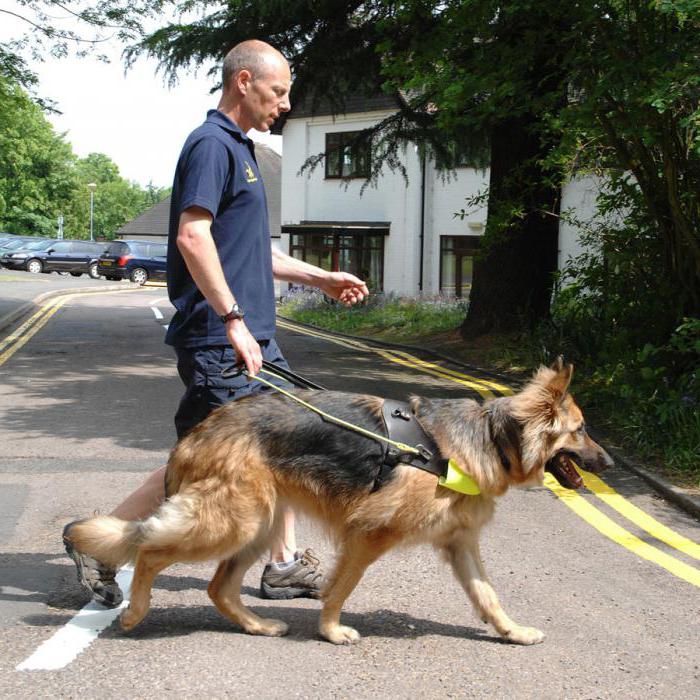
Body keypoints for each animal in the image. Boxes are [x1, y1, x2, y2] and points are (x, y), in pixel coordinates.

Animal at [67, 360, 612, 644]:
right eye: (582, 430)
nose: (608, 464)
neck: (491, 439)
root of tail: (200, 431)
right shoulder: (368, 534)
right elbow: (342, 588)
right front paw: (331, 631)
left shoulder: (461, 545)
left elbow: (488, 595)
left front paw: (512, 631)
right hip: (231, 524)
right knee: (149, 550)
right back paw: (134, 610)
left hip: (258, 525)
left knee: (219, 588)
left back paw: (257, 625)